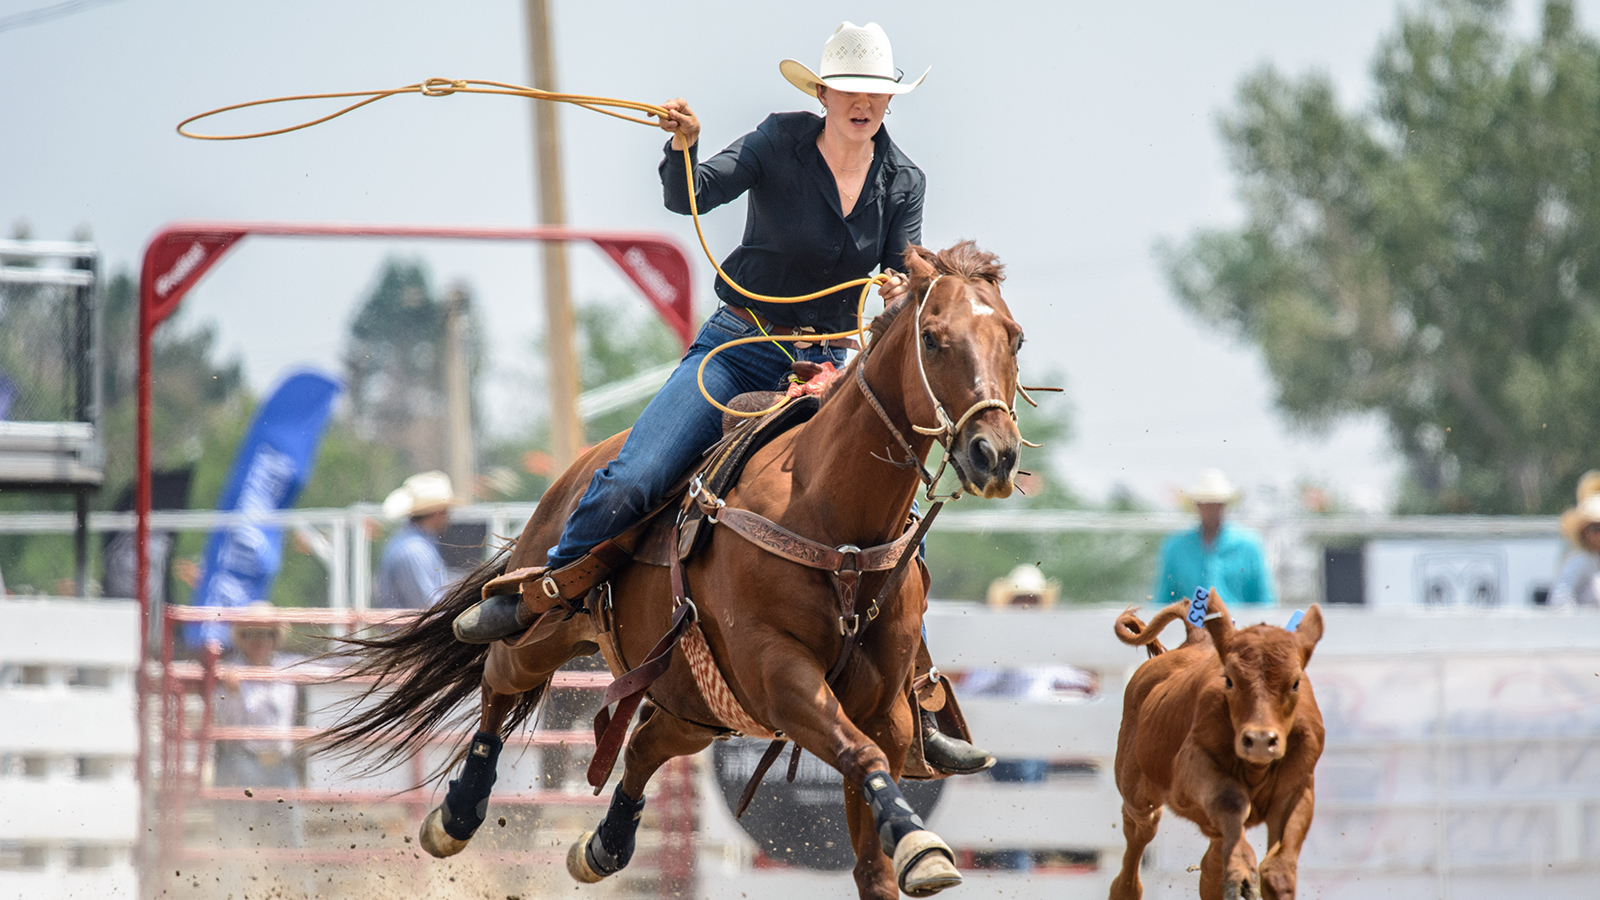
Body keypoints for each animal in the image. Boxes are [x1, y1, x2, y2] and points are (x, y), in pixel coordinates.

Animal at [324, 240, 1024, 896]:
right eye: (932, 338)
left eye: (1014, 338)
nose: (994, 454)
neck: (829, 515)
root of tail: (587, 462)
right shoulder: (780, 674)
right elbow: (857, 751)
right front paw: (922, 845)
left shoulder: (885, 710)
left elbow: (872, 830)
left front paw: (907, 851)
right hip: (553, 627)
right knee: (501, 674)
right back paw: (459, 812)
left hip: (695, 700)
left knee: (643, 743)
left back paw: (604, 846)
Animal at [1113, 589, 1324, 896]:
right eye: (1230, 680)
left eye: (1295, 682)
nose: (1260, 741)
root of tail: (1195, 640)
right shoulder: (1194, 771)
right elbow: (1230, 800)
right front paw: (1242, 869)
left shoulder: (1298, 790)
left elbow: (1278, 870)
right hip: (1137, 795)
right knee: (1138, 836)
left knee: (1211, 861)